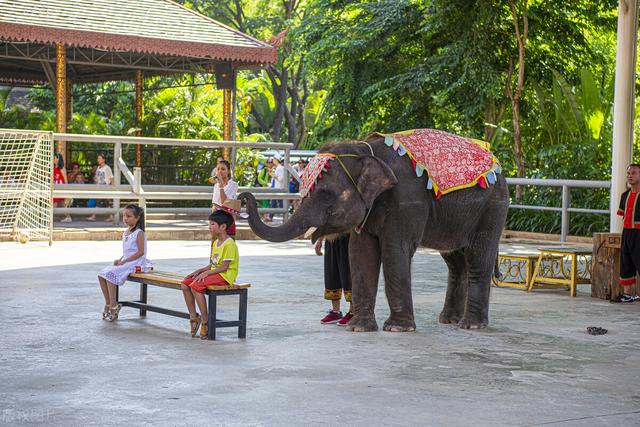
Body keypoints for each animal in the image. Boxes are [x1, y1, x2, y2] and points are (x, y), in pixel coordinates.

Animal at [240, 134, 510, 332]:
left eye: (325, 194)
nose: (243, 196)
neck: (364, 150)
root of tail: (497, 165)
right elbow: (360, 252)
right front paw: (359, 328)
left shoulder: (407, 201)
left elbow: (394, 250)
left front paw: (397, 329)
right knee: (455, 261)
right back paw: (449, 320)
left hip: (493, 208)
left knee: (478, 257)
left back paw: (471, 325)